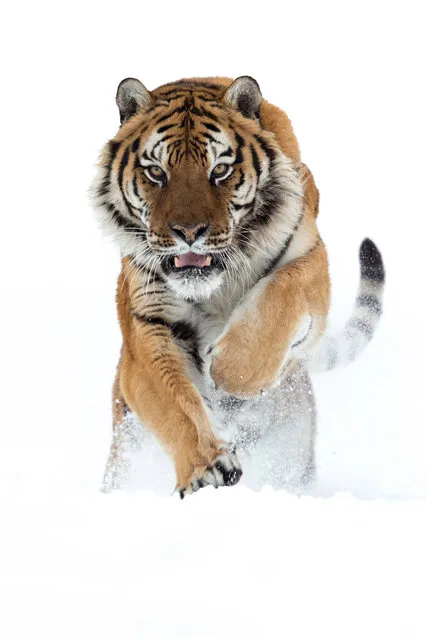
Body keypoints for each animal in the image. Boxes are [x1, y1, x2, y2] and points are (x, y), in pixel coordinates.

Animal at [91, 74, 384, 496]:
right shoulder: (148, 324)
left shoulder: (310, 261)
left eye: (220, 170)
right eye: (157, 173)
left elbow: (279, 301)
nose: (189, 232)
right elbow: (174, 402)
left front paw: (229, 373)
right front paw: (207, 468)